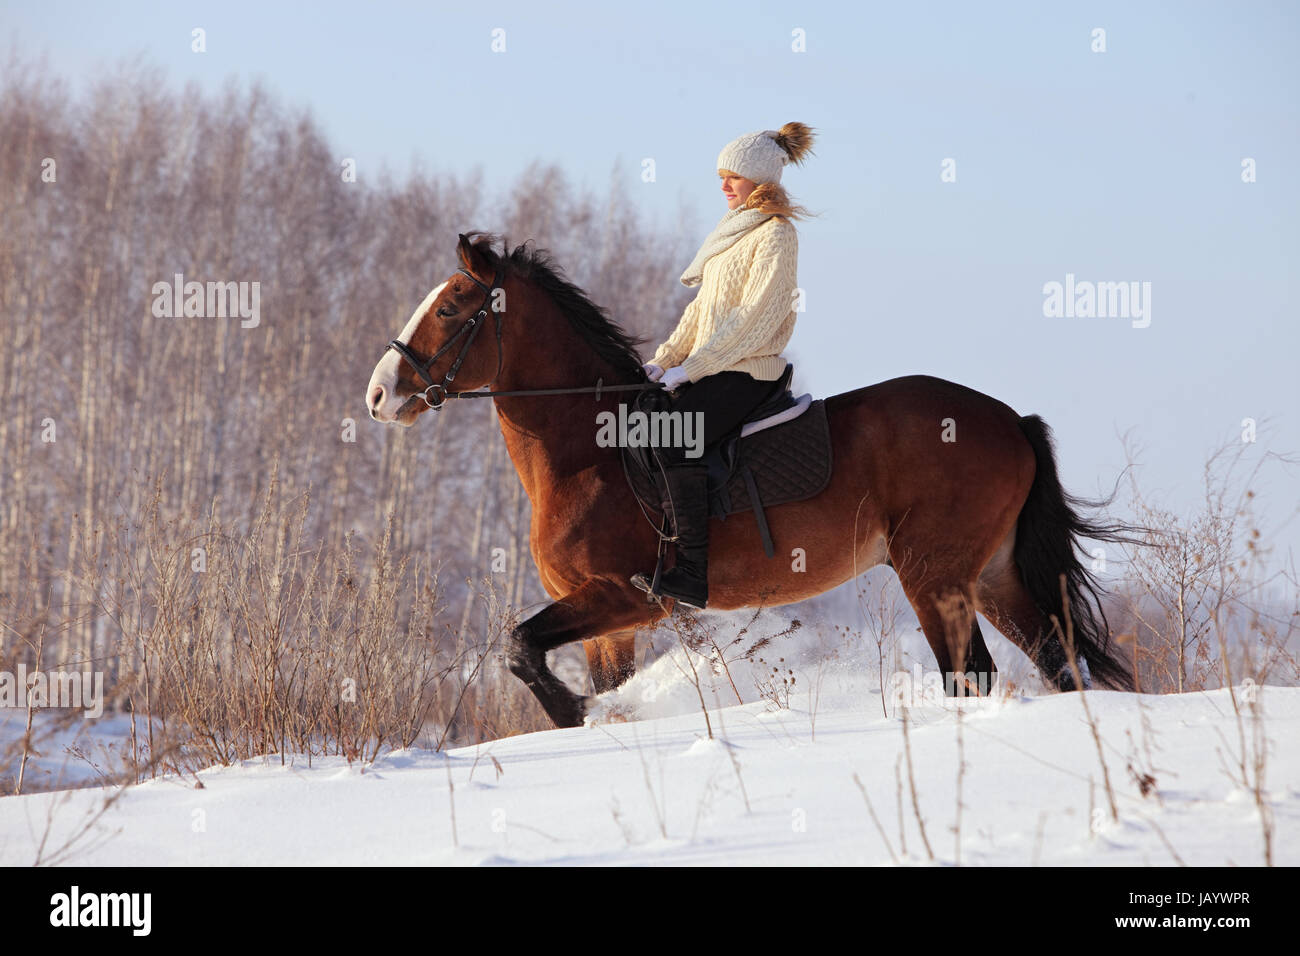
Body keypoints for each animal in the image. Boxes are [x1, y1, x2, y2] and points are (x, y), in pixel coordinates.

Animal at [369, 235, 1138, 728]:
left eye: (450, 306)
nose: (379, 395)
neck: (591, 450)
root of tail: (1010, 418)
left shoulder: (626, 597)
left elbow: (517, 647)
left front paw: (579, 711)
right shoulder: (608, 622)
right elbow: (556, 664)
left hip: (936, 577)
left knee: (972, 673)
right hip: (993, 577)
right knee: (1057, 663)